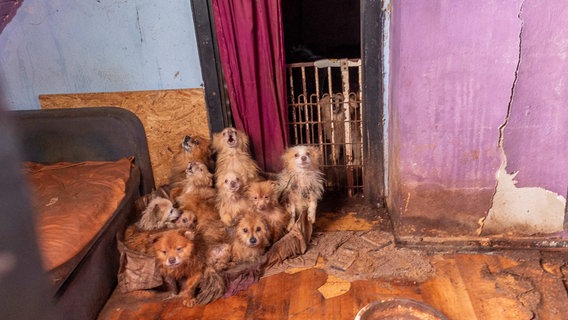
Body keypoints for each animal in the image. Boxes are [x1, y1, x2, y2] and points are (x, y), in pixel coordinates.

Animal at [288, 58, 364, 196]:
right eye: (331, 99)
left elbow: (355, 151)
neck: (339, 121)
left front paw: (355, 163)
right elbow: (336, 147)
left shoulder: (355, 137)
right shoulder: (335, 135)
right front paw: (334, 156)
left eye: (340, 99)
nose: (334, 103)